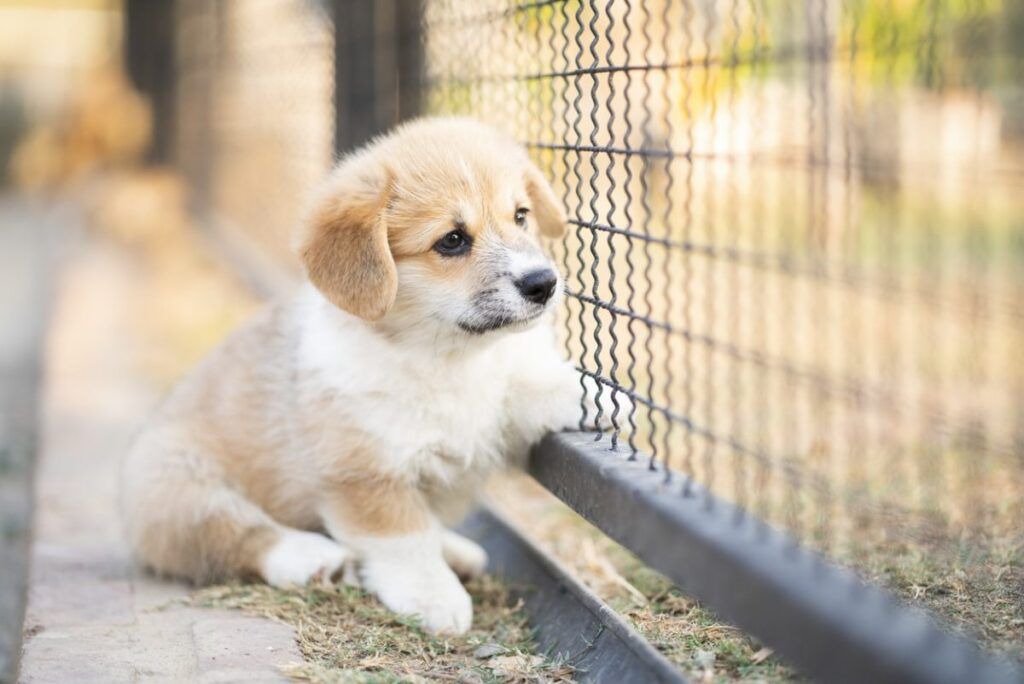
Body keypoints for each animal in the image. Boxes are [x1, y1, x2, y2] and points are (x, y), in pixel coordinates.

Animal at [119, 114, 614, 634]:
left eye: (520, 215)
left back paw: (456, 551)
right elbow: (405, 540)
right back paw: (313, 558)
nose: (544, 283)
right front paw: (434, 597)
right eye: (452, 240)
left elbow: (524, 387)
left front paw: (596, 396)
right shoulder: (365, 477)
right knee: (233, 533)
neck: (445, 356)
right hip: (177, 486)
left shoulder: (493, 397)